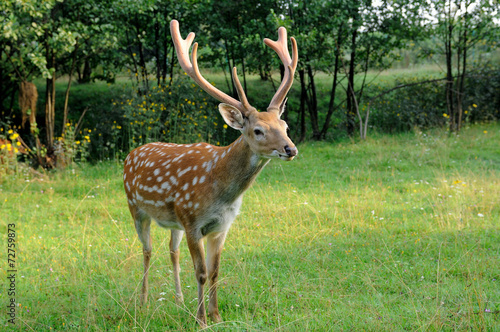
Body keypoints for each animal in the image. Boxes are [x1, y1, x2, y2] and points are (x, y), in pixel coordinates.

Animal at [122, 19, 296, 328]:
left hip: (174, 221)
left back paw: (179, 299)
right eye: (258, 130)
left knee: (172, 250)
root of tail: (132, 152)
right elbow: (201, 273)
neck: (222, 190)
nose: (291, 149)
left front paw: (216, 314)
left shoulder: (221, 226)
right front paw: (201, 319)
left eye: (284, 125)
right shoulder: (193, 222)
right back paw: (142, 301)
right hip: (136, 207)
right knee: (147, 250)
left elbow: (215, 271)